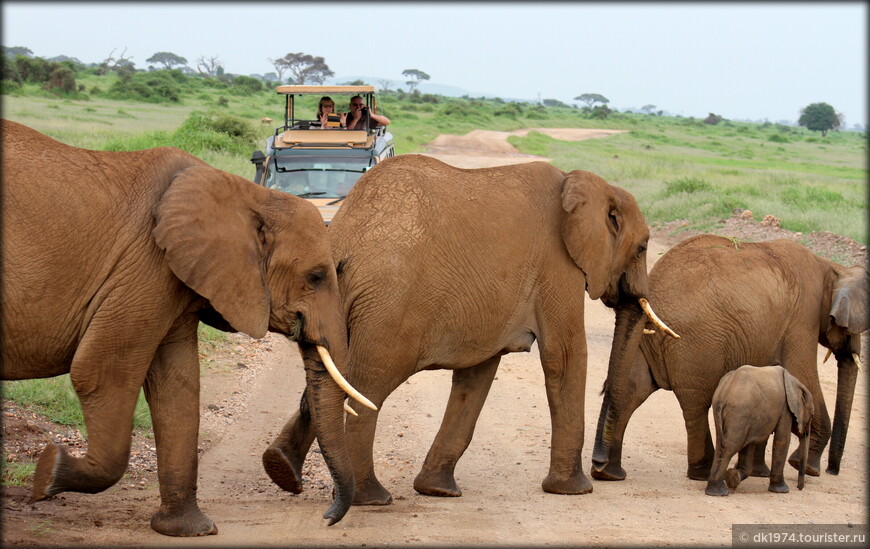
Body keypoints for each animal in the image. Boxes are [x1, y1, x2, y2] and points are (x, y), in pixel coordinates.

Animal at [0, 120, 372, 536]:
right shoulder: (143, 267)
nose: (327, 516)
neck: (249, 197)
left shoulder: (171, 279)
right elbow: (99, 372)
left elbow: (177, 385)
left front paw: (188, 530)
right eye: (316, 276)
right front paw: (48, 473)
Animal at [255, 154, 676, 506]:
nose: (608, 472)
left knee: (330, 377)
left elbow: (477, 375)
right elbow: (565, 356)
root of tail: (345, 234)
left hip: (333, 300)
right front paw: (574, 490)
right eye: (643, 248)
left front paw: (437, 491)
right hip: (388, 309)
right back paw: (370, 499)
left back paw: (281, 470)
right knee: (366, 385)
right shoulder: (558, 267)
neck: (586, 185)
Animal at [704, 366, 816, 494]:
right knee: (729, 448)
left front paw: (734, 477)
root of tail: (723, 392)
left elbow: (749, 446)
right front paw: (782, 490)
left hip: (733, 415)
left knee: (721, 446)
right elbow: (782, 441)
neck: (796, 382)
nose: (799, 488)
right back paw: (719, 492)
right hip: (740, 413)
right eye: (812, 415)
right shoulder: (785, 408)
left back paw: (716, 489)